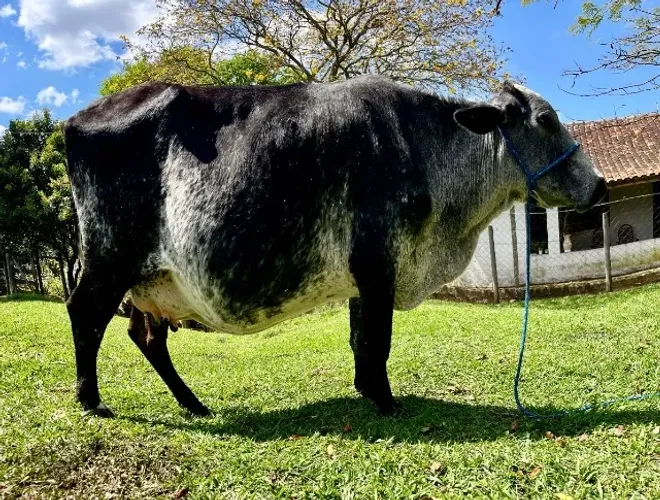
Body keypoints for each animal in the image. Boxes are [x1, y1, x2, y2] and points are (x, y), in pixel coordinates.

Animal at [63, 75, 606, 418]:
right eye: (545, 119)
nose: (600, 185)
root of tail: (73, 122)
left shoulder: (362, 279)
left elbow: (359, 339)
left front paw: (368, 392)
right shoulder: (379, 266)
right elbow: (377, 341)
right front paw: (387, 403)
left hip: (151, 281)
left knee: (146, 337)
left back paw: (193, 404)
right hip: (109, 261)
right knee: (84, 314)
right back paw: (93, 401)